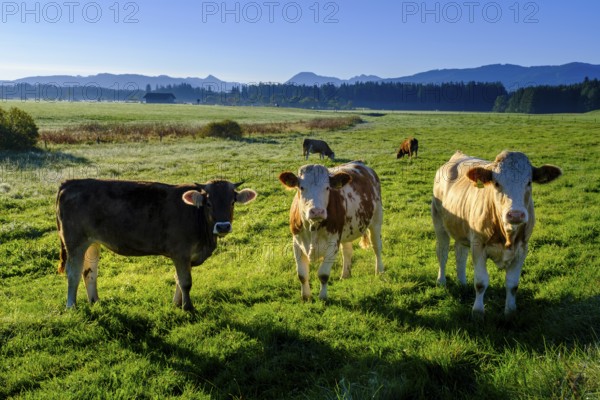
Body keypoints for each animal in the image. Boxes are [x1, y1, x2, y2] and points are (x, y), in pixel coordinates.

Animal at [56, 179, 260, 312]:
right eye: (208, 202)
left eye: (232, 202)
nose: (223, 226)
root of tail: (69, 183)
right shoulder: (181, 253)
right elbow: (186, 281)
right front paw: (188, 307)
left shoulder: (185, 256)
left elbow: (178, 279)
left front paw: (177, 304)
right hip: (75, 242)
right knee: (73, 273)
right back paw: (71, 306)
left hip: (92, 242)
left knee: (89, 272)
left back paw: (95, 301)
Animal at [278, 160, 382, 300]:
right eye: (301, 187)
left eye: (327, 188)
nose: (317, 211)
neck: (313, 227)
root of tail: (360, 163)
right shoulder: (296, 243)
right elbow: (302, 274)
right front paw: (305, 297)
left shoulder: (332, 243)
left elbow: (323, 274)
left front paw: (323, 297)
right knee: (347, 251)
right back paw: (345, 275)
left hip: (376, 221)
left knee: (377, 247)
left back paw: (380, 271)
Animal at [432, 151, 564, 318]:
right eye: (496, 183)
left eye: (529, 182)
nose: (515, 214)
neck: (507, 236)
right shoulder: (478, 245)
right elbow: (481, 283)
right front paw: (478, 312)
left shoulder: (522, 249)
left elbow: (512, 284)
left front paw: (510, 311)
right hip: (439, 223)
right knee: (442, 253)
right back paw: (441, 281)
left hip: (461, 230)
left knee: (460, 253)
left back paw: (462, 283)